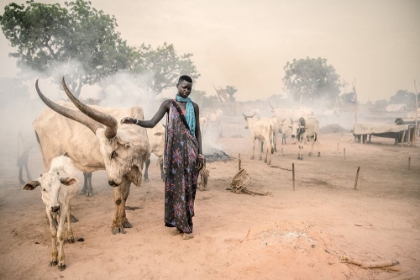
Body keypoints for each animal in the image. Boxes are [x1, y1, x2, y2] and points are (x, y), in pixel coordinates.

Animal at [34, 78, 150, 234]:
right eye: (103, 153)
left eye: (113, 153)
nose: (111, 182)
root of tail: (39, 118)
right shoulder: (115, 174)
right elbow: (118, 198)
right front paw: (116, 226)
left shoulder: (124, 172)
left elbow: (125, 196)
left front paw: (125, 221)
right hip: (50, 157)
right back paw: (52, 219)